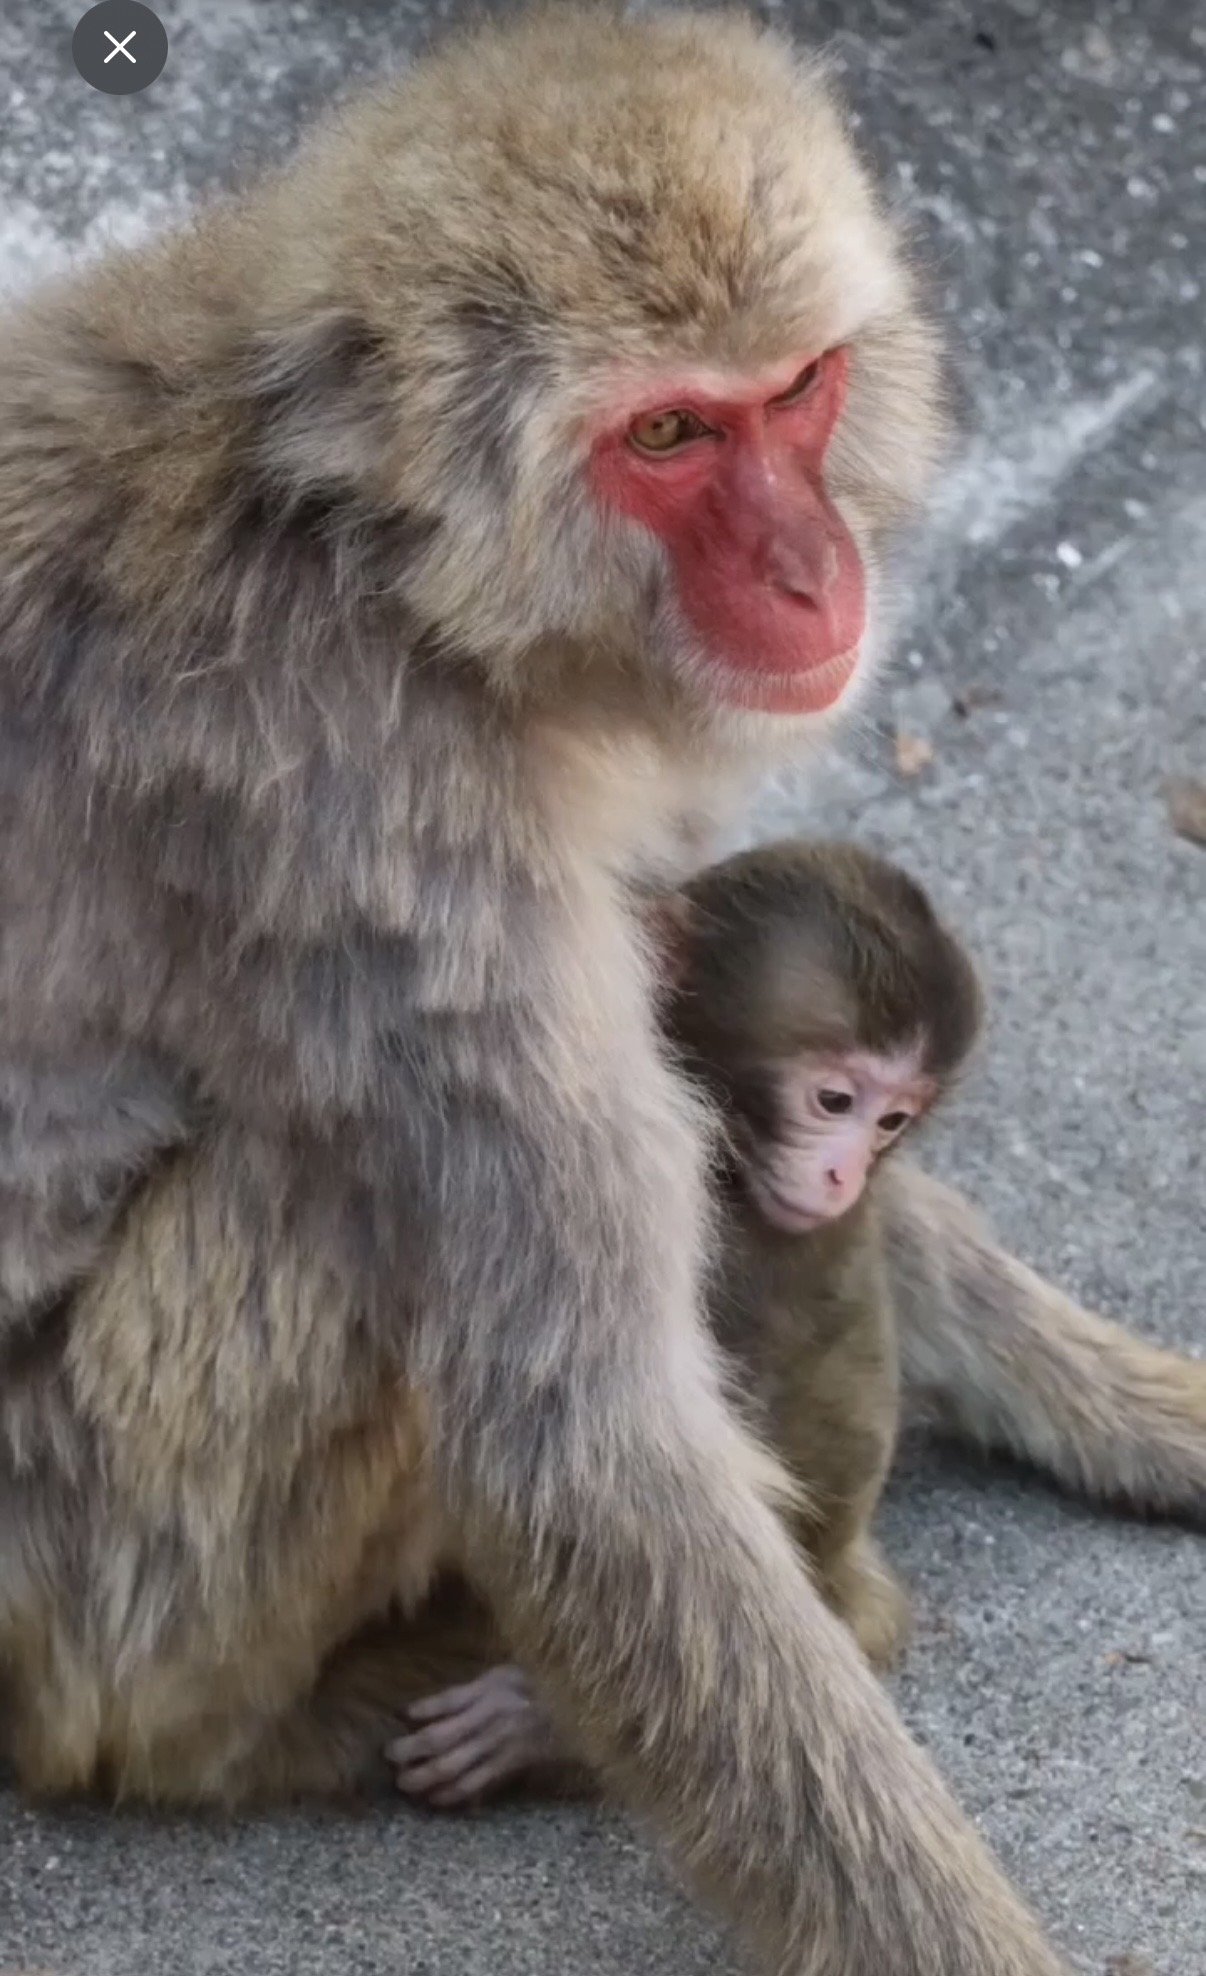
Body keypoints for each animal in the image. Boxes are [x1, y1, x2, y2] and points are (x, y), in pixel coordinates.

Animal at [0, 8, 1201, 1975]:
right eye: (666, 434)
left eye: (793, 394)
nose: (811, 570)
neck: (377, 562)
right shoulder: (362, 801)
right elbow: (585, 1433)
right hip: (100, 1586)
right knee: (334, 1205)